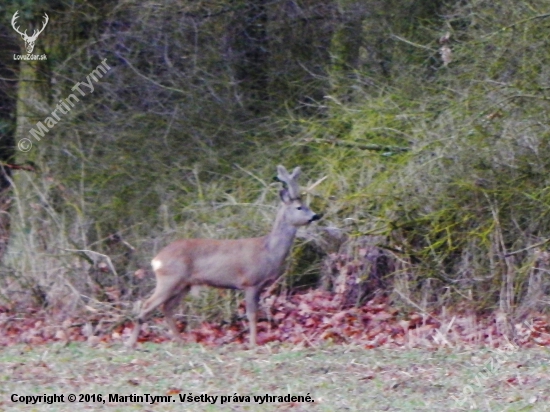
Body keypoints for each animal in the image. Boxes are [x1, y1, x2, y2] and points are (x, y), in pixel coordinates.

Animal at [127, 164, 322, 348]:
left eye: (307, 205)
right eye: (299, 207)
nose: (316, 216)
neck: (268, 251)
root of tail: (156, 259)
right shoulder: (251, 282)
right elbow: (252, 314)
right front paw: (253, 344)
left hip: (184, 284)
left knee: (167, 308)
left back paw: (181, 341)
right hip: (169, 278)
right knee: (147, 305)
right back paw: (132, 344)